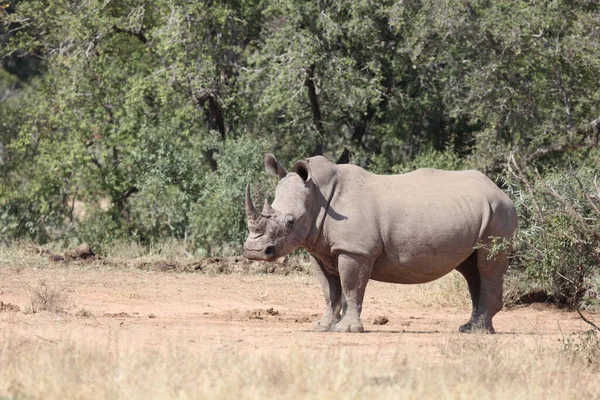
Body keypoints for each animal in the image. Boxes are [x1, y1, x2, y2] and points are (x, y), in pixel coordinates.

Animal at [241, 155, 516, 332]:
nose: (254, 252)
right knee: (471, 269)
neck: (317, 195)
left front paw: (347, 329)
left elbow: (351, 288)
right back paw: (470, 328)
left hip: (499, 212)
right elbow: (329, 291)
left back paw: (478, 331)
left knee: (488, 265)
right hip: (482, 212)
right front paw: (322, 326)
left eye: (289, 222)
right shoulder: (319, 249)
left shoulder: (355, 250)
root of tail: (502, 191)